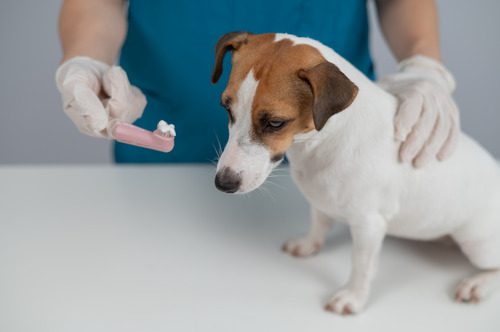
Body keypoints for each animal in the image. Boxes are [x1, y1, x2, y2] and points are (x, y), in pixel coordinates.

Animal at [211, 32, 500, 316]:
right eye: (226, 108)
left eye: (275, 123)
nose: (223, 183)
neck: (323, 141)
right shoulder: (321, 199)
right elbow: (318, 223)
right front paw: (309, 244)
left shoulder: (369, 224)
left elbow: (361, 266)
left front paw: (353, 297)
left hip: (477, 242)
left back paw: (477, 284)